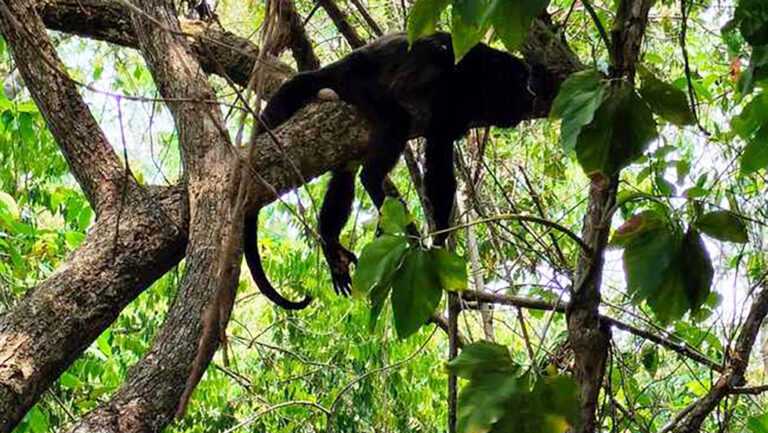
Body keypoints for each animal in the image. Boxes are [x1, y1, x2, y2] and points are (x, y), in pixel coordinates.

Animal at [243, 32, 548, 308]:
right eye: (522, 83)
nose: (532, 94)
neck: (483, 74)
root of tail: (339, 66)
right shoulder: (452, 93)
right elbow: (438, 161)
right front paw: (439, 239)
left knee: (345, 175)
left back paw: (331, 244)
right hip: (357, 86)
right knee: (394, 124)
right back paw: (382, 196)